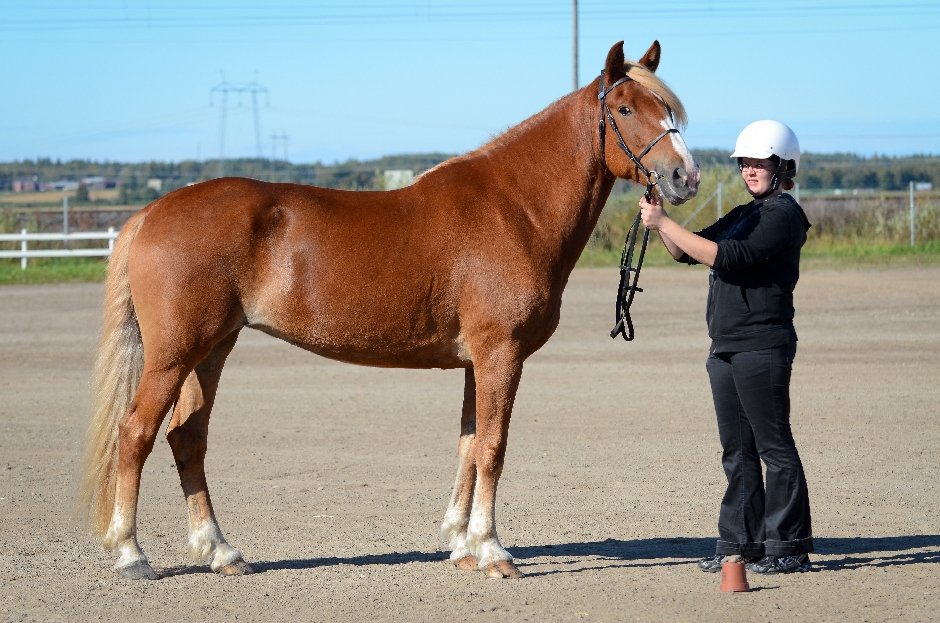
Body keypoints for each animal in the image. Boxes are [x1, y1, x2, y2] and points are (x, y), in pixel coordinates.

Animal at [79, 41, 696, 584]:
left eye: (668, 110)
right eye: (624, 109)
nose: (684, 177)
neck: (515, 208)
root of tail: (154, 210)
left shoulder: (475, 362)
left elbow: (469, 445)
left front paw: (462, 546)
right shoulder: (501, 353)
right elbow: (493, 448)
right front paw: (494, 552)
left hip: (211, 349)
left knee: (188, 437)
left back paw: (220, 552)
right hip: (173, 354)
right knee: (135, 433)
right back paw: (132, 554)